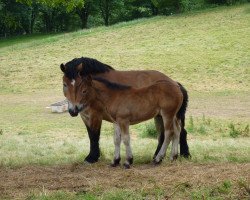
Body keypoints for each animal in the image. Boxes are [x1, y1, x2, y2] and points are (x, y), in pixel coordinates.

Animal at [60, 57, 189, 163]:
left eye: (81, 88)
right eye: (64, 84)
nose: (73, 110)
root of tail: (175, 84)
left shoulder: (96, 115)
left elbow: (95, 136)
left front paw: (92, 158)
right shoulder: (89, 116)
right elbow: (103, 137)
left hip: (167, 115)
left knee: (173, 132)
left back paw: (177, 156)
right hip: (163, 115)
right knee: (171, 132)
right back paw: (166, 156)